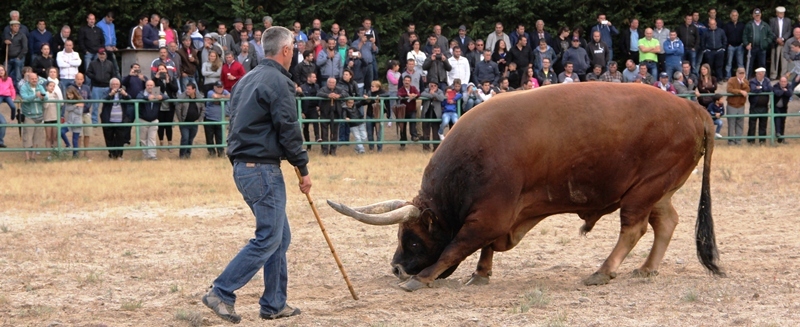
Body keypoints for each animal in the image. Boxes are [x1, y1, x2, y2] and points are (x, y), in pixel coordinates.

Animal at [328, 82, 720, 292]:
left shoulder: (490, 213)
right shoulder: (498, 215)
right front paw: (481, 274)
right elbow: (484, 246)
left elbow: (456, 246)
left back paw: (603, 270)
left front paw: (422, 278)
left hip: (643, 189)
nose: (397, 268)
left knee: (634, 228)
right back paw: (646, 268)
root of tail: (693, 109)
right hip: (657, 188)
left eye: (410, 239)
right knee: (665, 222)